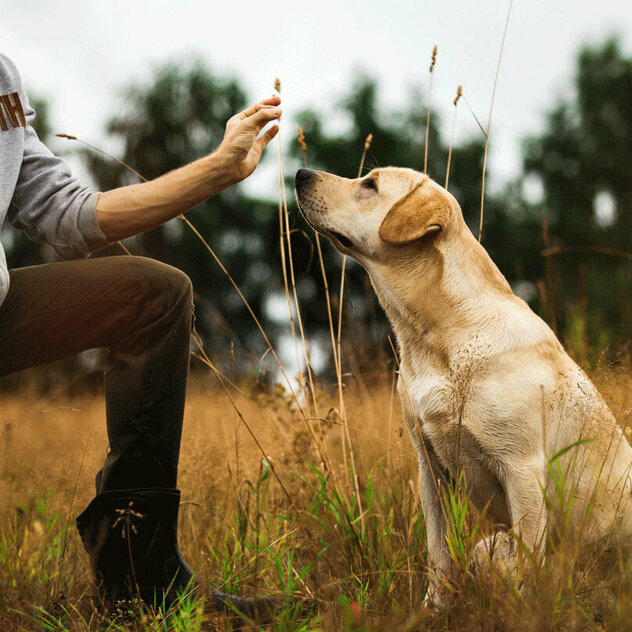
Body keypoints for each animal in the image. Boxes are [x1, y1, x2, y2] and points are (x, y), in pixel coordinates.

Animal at [296, 165, 632, 604]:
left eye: (369, 184)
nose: (300, 173)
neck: (436, 339)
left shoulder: (522, 468)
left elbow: (528, 564)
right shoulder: (430, 469)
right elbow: (438, 554)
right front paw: (432, 609)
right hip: (486, 547)